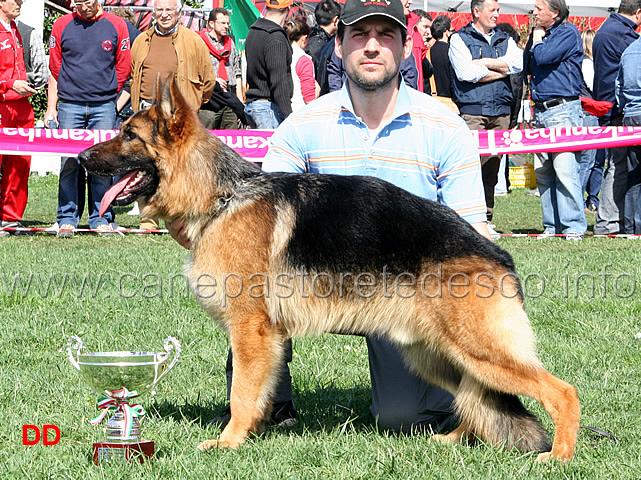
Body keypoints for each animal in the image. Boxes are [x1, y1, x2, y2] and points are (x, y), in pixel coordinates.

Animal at [80, 79, 580, 462]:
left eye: (129, 134)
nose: (82, 160)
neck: (222, 196)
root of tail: (499, 255)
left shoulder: (250, 330)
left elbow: (241, 393)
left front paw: (228, 443)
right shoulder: (266, 338)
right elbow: (256, 391)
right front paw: (253, 433)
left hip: (479, 352)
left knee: (561, 393)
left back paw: (558, 456)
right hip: (436, 355)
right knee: (474, 401)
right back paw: (452, 440)